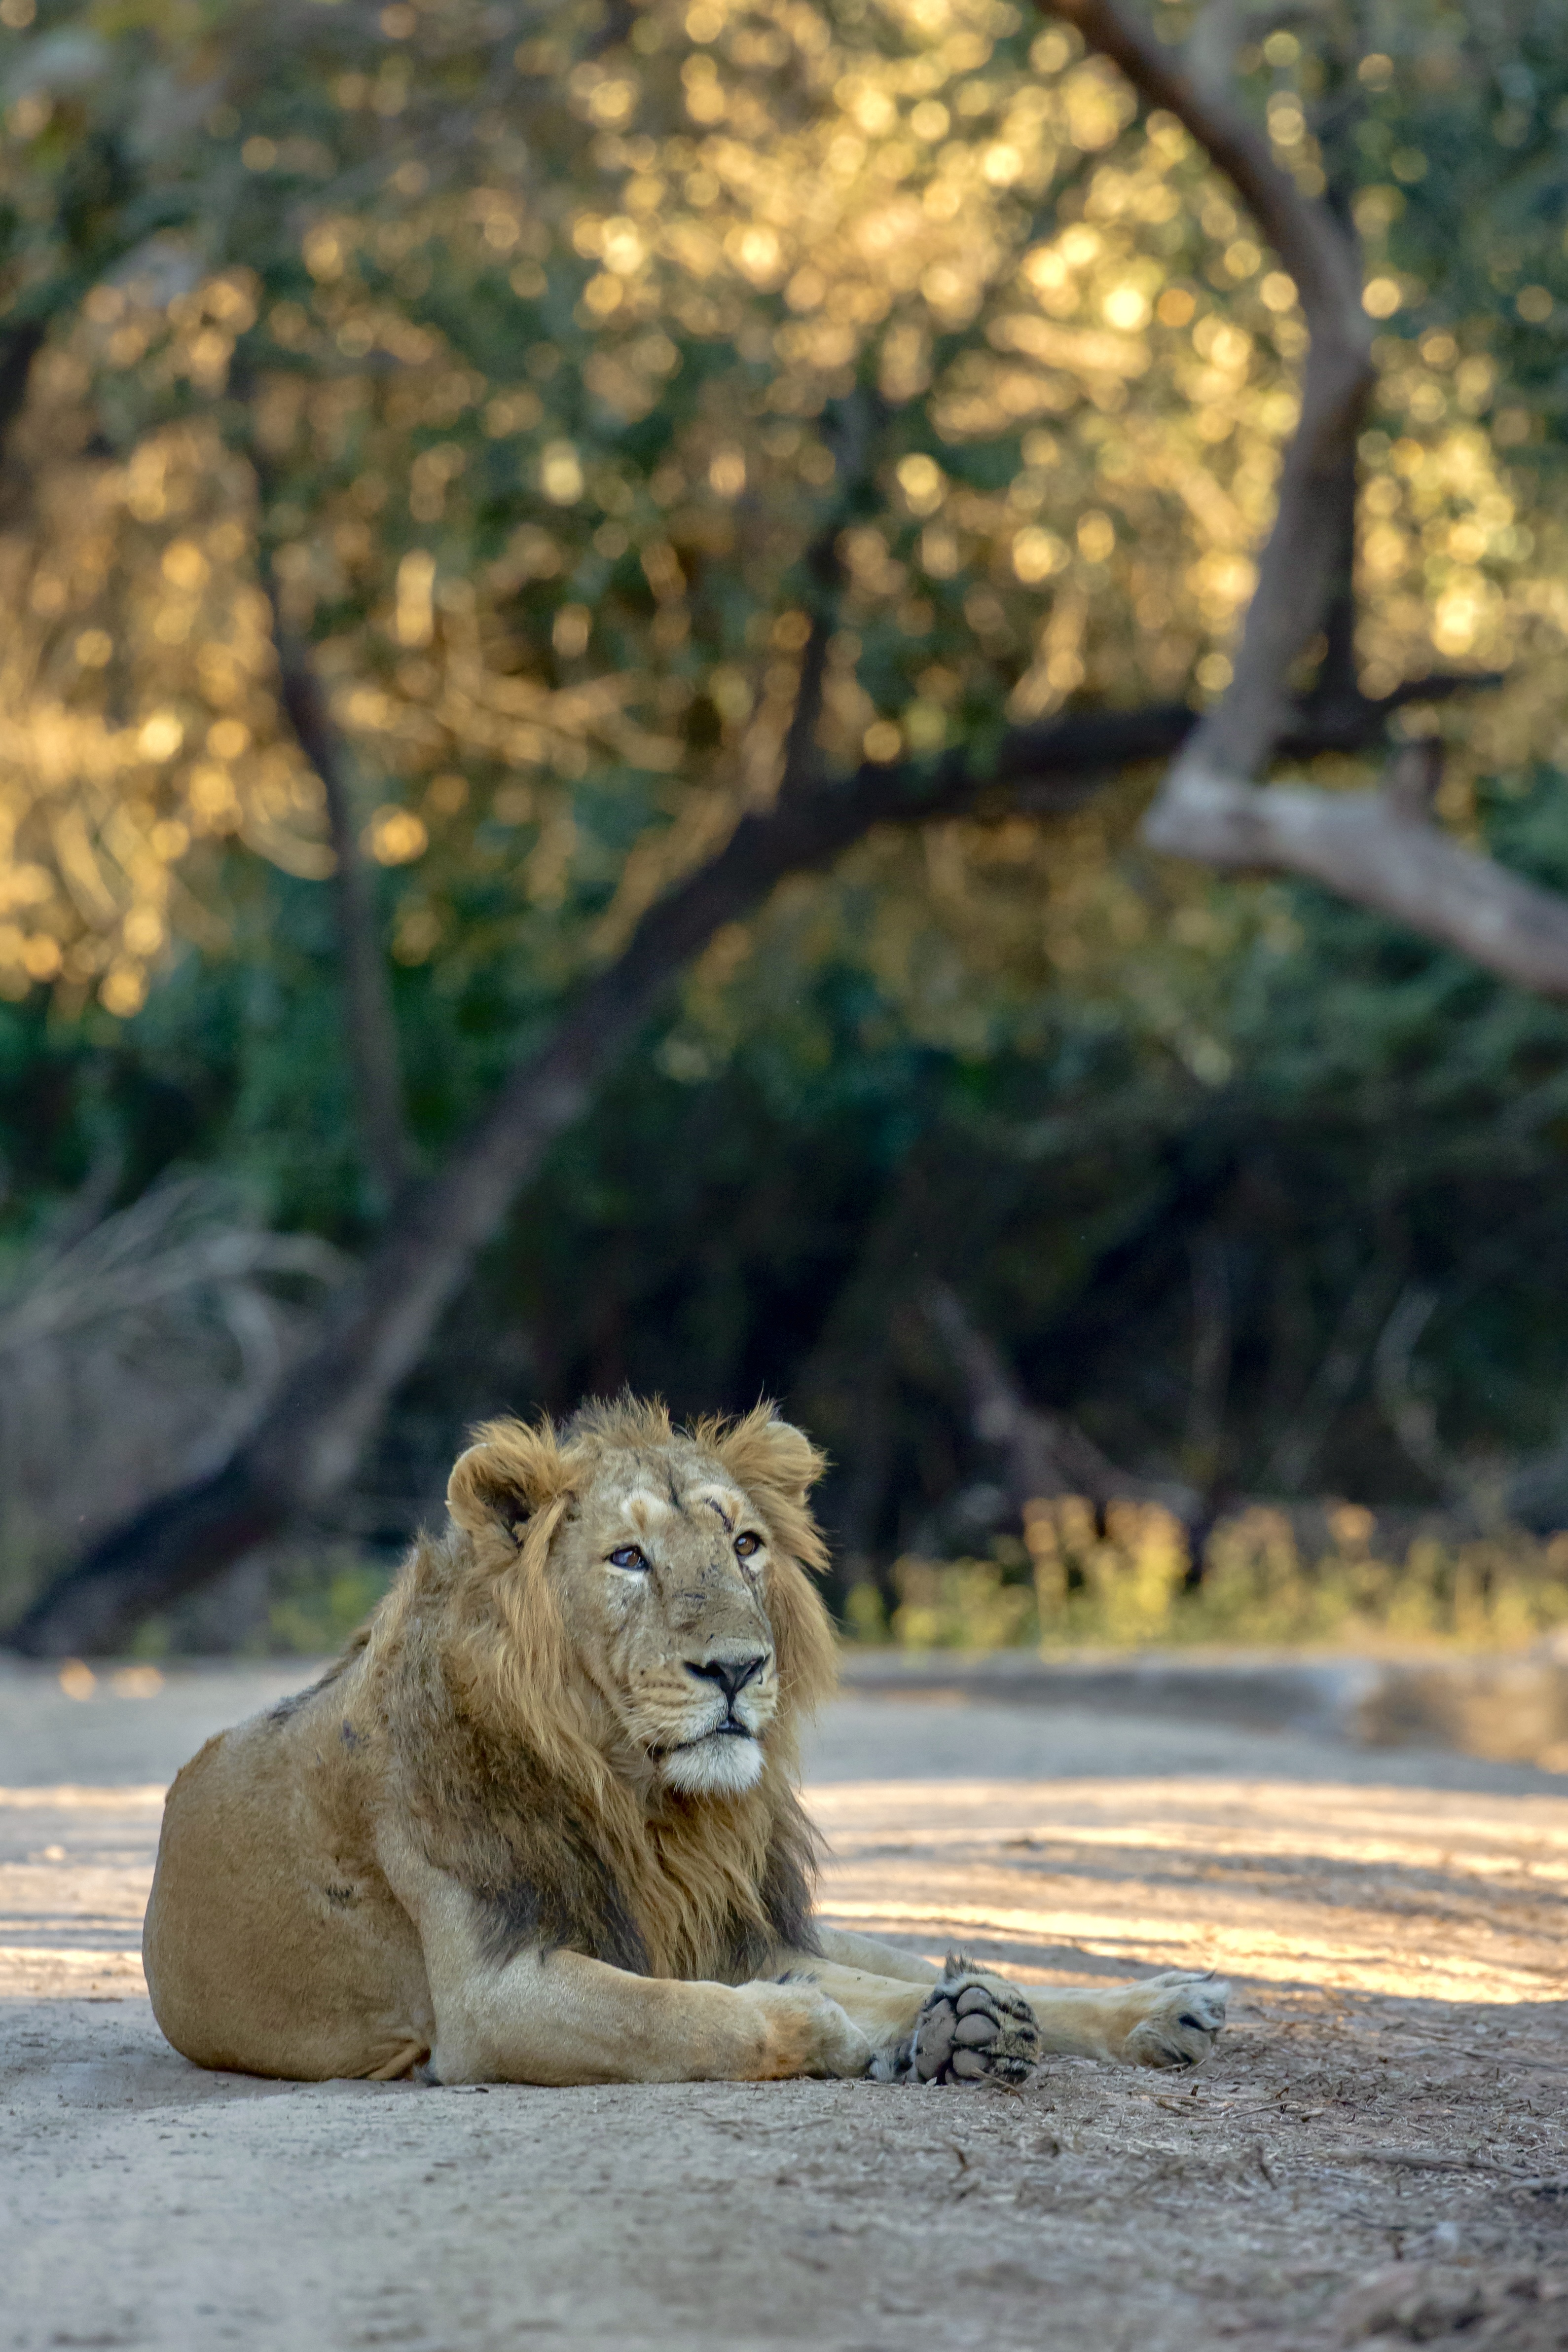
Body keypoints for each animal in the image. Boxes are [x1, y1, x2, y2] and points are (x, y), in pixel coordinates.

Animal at [143, 1398, 1226, 2086]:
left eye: (743, 1544)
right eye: (627, 1557)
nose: (737, 1669)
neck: (646, 1805)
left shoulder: (725, 1922)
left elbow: (818, 1985)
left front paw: (942, 2023)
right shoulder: (490, 1998)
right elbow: (676, 2012)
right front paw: (829, 2028)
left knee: (929, 1959)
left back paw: (1156, 2006)